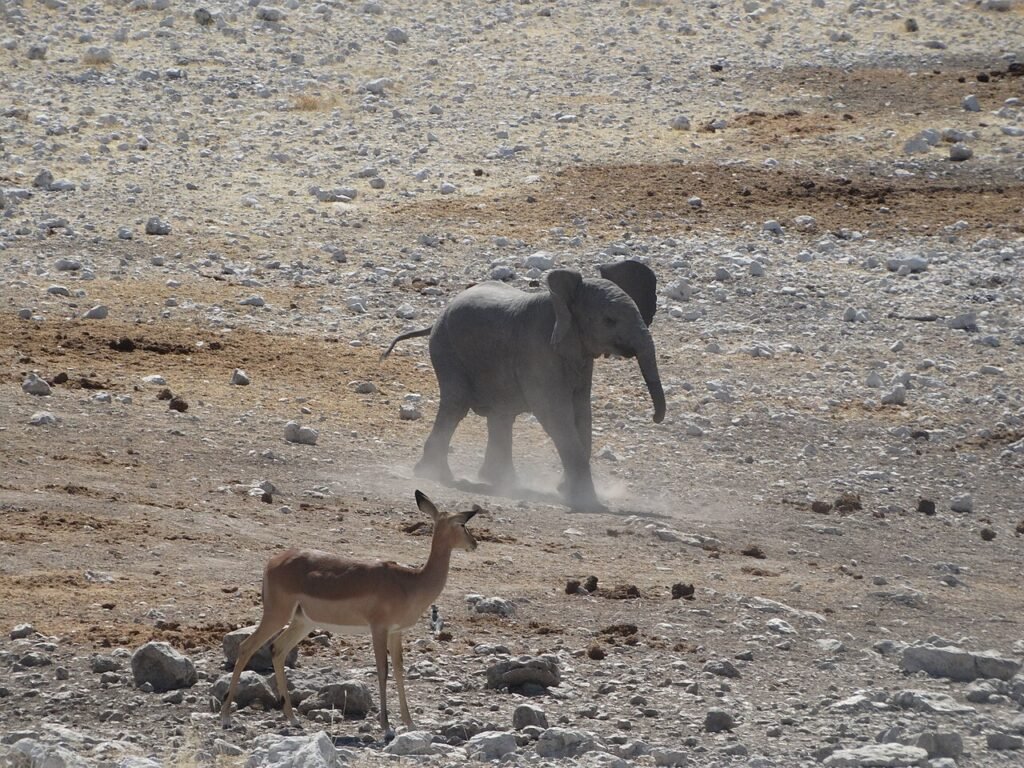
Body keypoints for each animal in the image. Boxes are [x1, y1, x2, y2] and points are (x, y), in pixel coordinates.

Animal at [383, 261, 664, 511]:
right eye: (609, 320)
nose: (655, 417)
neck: (563, 300)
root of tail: (438, 316)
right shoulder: (538, 349)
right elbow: (555, 413)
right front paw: (586, 503)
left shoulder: (579, 356)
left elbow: (582, 413)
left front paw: (565, 491)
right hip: (446, 349)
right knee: (456, 405)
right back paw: (435, 475)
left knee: (500, 414)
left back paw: (499, 482)